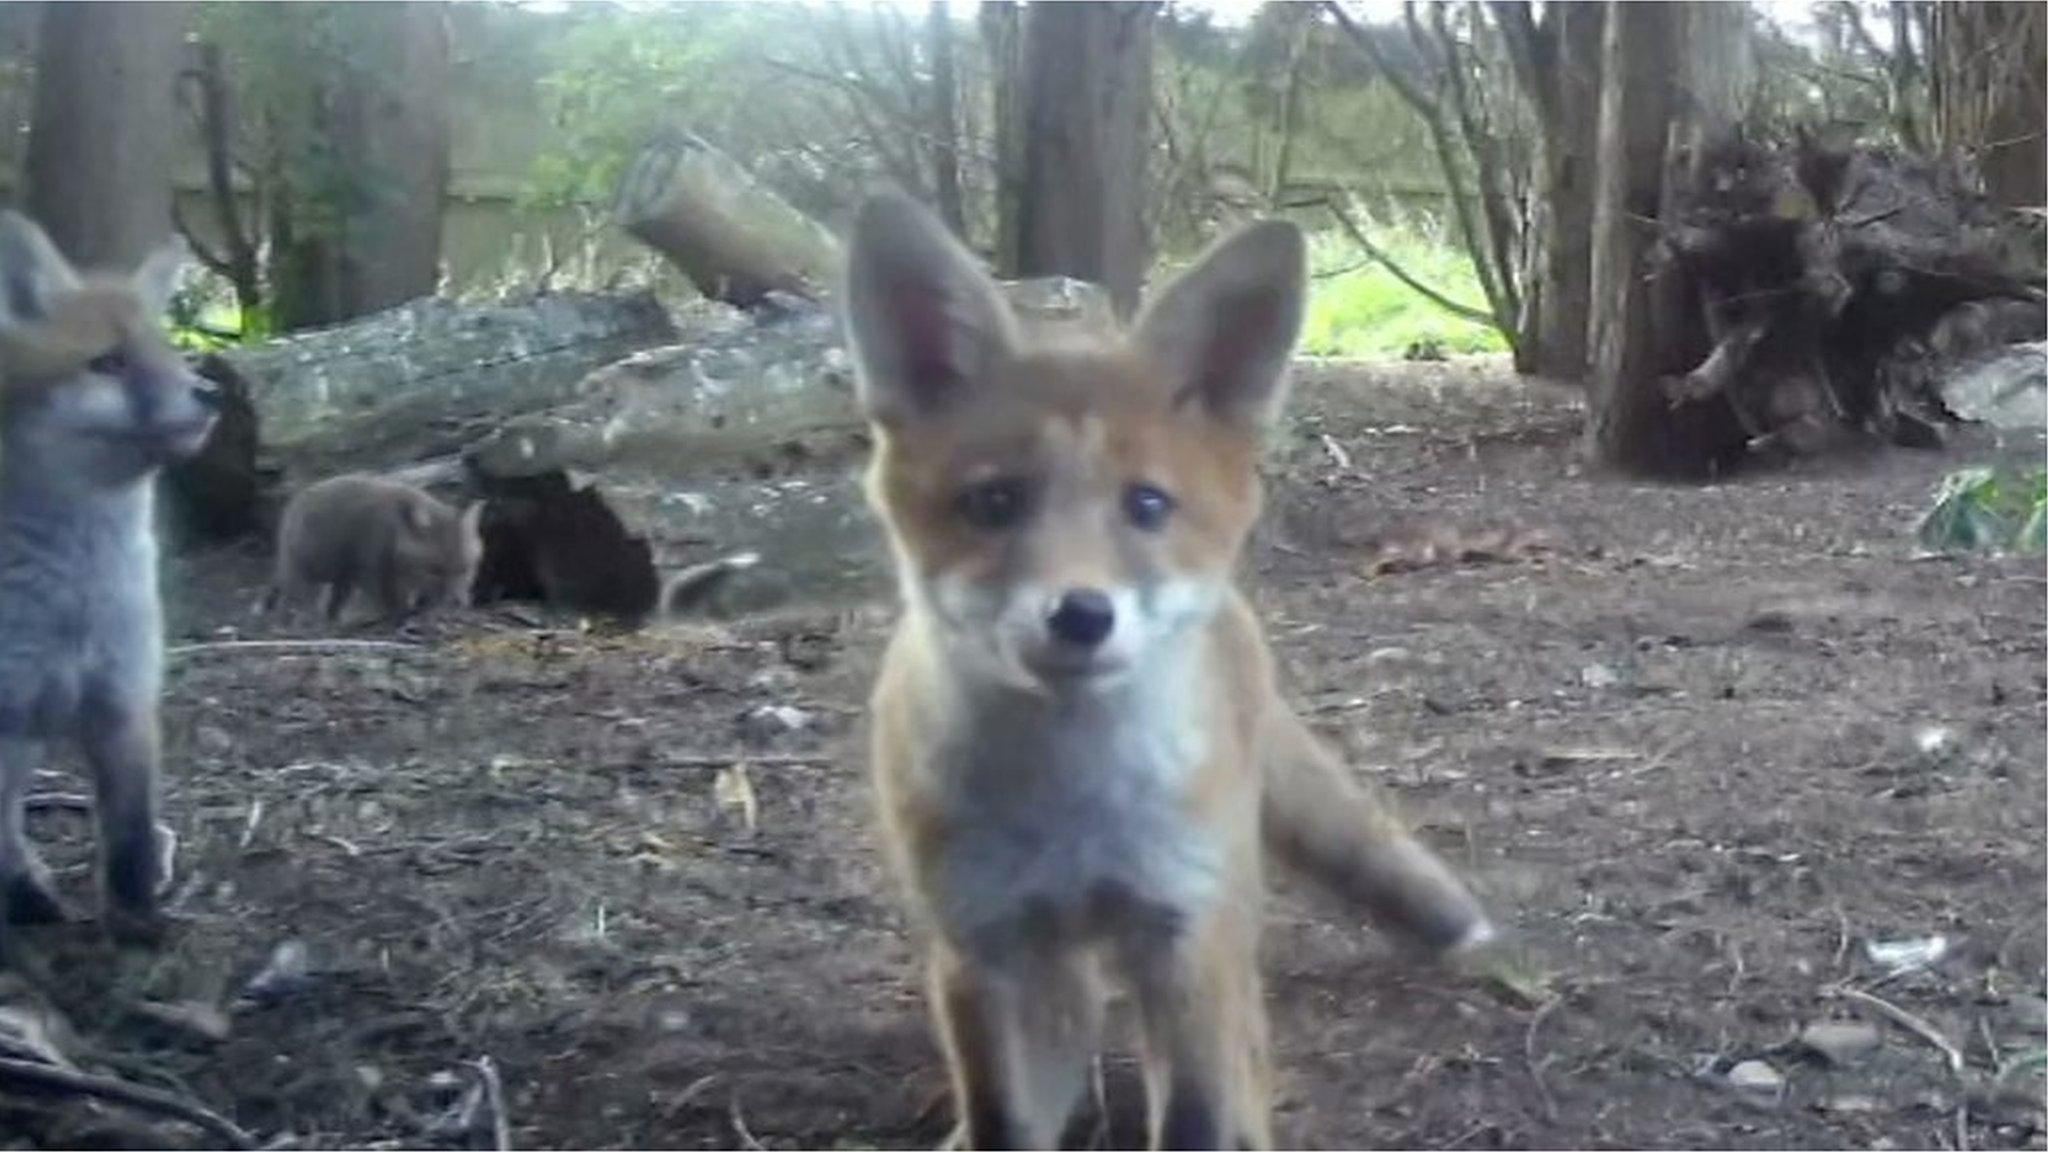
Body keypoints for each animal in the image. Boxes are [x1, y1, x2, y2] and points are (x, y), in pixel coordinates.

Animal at [0, 211, 220, 947]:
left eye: (173, 354)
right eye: (109, 363)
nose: (210, 392)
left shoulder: (123, 700)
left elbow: (128, 838)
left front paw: (137, 922)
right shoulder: (8, 710)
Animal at [839, 192, 1499, 1139]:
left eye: (1147, 505)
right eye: (993, 503)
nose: (1081, 614)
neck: (1070, 807)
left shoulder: (1186, 940)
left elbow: (1195, 1117)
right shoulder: (985, 948)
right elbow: (1006, 1122)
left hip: (1225, 918)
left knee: (1246, 1056)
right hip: (1045, 967)